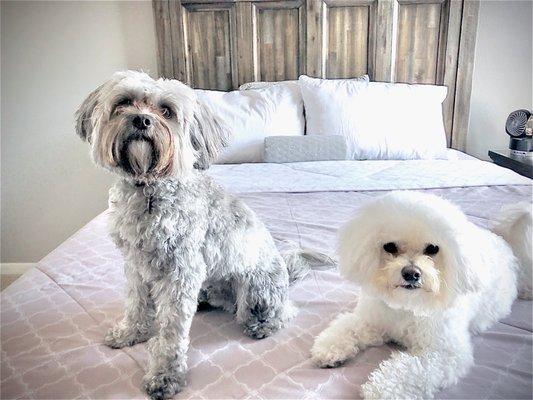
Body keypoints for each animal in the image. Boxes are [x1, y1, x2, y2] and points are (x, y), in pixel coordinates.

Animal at [74, 70, 324, 398]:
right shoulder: (134, 263)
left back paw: (262, 324)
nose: (141, 120)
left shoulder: (181, 271)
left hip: (256, 292)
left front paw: (165, 374)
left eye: (167, 111)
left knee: (282, 312)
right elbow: (136, 302)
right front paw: (131, 332)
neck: (149, 189)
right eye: (124, 102)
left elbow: (171, 330)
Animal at [310, 192, 528, 398]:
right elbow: (348, 327)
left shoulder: (442, 352)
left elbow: (411, 371)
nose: (411, 273)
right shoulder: (371, 320)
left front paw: (380, 390)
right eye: (389, 246)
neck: (407, 305)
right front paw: (329, 348)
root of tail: (502, 240)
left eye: (432, 248)